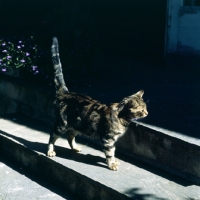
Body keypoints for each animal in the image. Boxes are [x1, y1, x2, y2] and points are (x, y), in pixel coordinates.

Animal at [46, 37, 148, 170]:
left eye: (146, 108)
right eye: (142, 110)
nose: (147, 113)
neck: (122, 118)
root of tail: (65, 93)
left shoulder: (112, 139)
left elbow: (113, 151)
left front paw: (113, 161)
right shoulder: (108, 139)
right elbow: (109, 152)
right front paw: (111, 164)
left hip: (77, 125)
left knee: (69, 136)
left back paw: (75, 147)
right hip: (61, 125)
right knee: (52, 135)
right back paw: (50, 151)